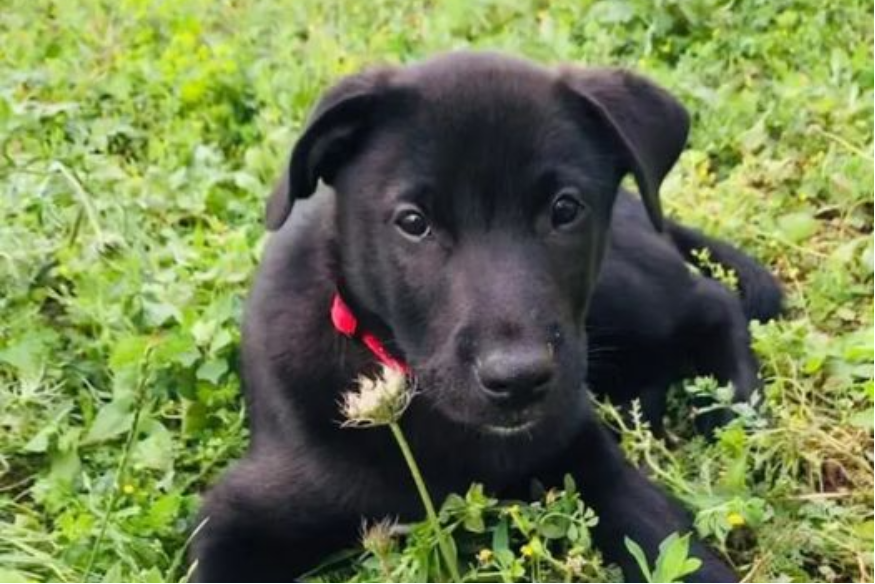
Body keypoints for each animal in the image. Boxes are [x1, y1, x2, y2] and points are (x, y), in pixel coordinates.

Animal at [192, 52, 781, 583]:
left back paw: (736, 413)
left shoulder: (586, 453)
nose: (518, 379)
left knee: (712, 302)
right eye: (413, 222)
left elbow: (668, 543)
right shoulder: (233, 519)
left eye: (565, 209)